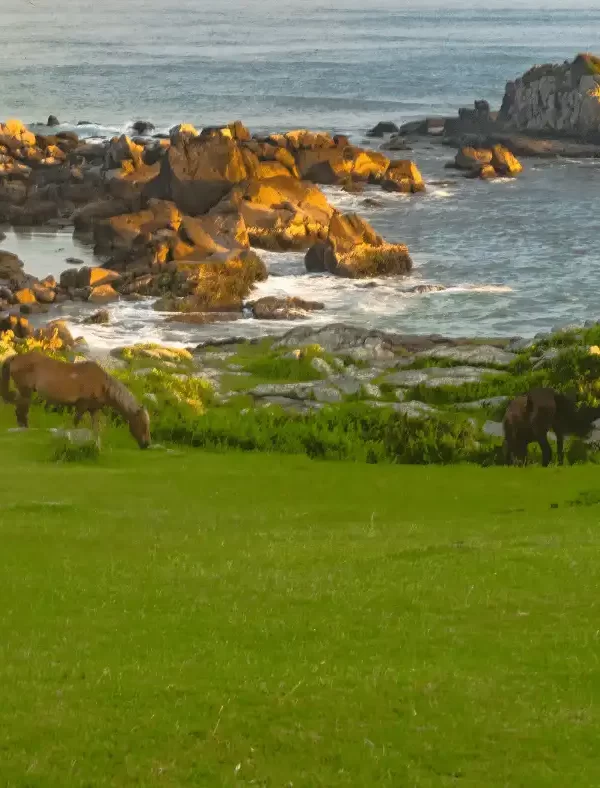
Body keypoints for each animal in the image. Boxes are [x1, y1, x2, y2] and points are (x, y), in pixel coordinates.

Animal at [0, 350, 150, 450]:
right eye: (143, 424)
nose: (147, 444)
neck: (102, 384)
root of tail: (15, 357)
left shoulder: (94, 409)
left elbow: (96, 429)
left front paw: (96, 446)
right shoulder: (81, 405)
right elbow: (75, 423)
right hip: (25, 391)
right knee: (21, 412)